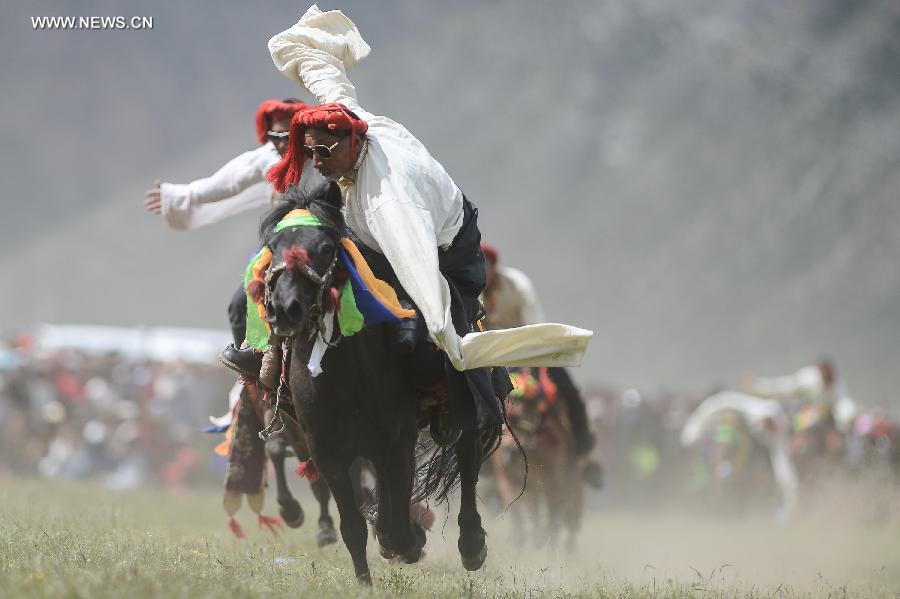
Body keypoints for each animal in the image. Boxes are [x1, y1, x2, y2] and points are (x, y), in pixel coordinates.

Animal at [260, 184, 496, 584]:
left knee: (468, 459)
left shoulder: (397, 442)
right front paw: (364, 580)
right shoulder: (327, 450)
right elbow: (353, 526)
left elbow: (397, 523)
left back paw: (471, 543)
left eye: (326, 248)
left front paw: (408, 540)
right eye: (273, 247)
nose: (285, 308)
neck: (346, 376)